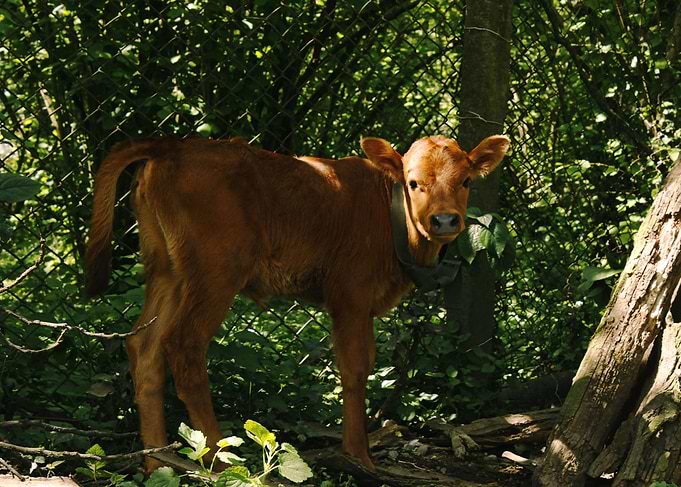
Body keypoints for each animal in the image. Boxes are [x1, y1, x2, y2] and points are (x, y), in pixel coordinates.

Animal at [84, 134, 509, 472]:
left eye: (466, 180)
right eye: (413, 182)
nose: (444, 221)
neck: (389, 216)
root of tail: (171, 145)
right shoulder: (350, 296)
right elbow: (355, 368)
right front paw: (359, 456)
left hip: (167, 272)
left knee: (144, 347)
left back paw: (157, 462)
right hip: (215, 273)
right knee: (184, 347)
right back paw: (219, 462)